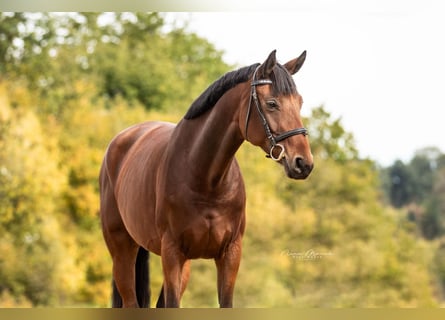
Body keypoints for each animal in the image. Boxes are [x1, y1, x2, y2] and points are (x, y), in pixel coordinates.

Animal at [98, 50, 312, 308]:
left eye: (299, 103)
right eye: (272, 103)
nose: (303, 163)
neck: (206, 180)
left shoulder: (229, 255)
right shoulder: (172, 253)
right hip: (122, 251)